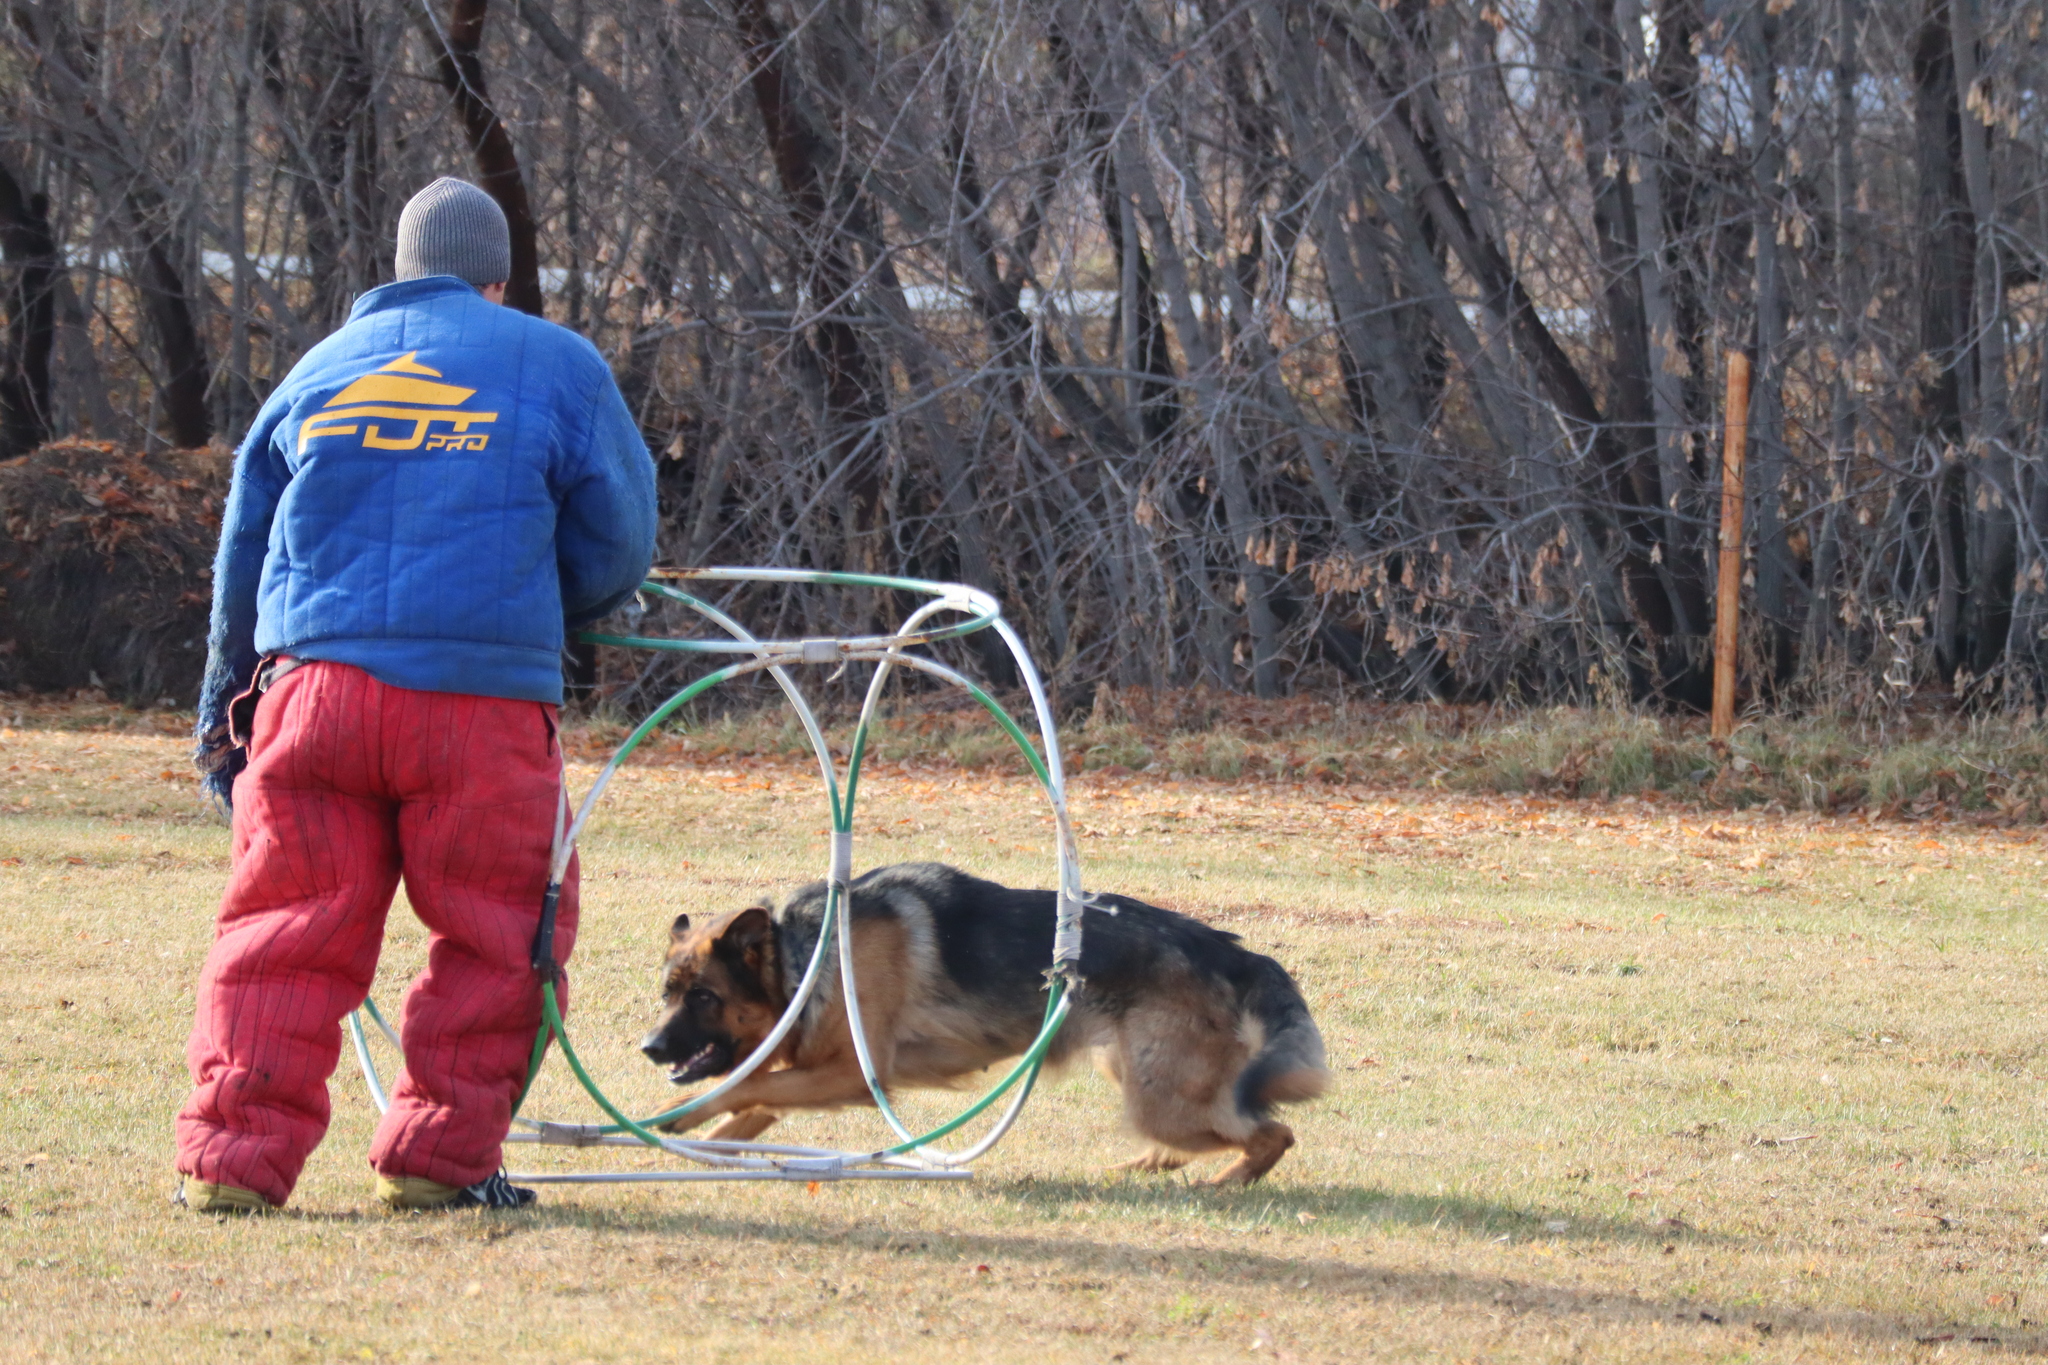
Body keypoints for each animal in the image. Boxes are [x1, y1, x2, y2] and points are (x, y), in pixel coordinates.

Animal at [630, 863, 1327, 1186]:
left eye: (703, 997)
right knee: (1215, 1134)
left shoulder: (851, 1073)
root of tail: (1233, 952)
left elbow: (745, 1086)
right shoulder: (812, 1071)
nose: (650, 1048)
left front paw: (676, 1119)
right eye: (668, 993)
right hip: (1139, 1082)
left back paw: (1226, 1182)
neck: (808, 958)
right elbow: (750, 1106)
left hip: (1160, 1100)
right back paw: (1145, 1169)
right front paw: (700, 1140)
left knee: (1273, 1133)